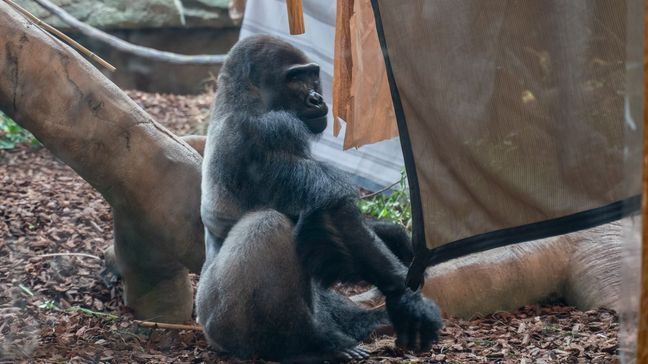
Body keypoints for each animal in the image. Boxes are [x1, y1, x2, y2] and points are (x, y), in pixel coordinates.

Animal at [196, 35, 440, 362]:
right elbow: (331, 207)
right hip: (220, 324)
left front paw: (395, 237)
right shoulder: (272, 130)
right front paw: (404, 297)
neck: (240, 97)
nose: (316, 98)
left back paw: (367, 323)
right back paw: (306, 345)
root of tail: (204, 330)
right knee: (269, 225)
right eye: (294, 78)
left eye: (312, 75)